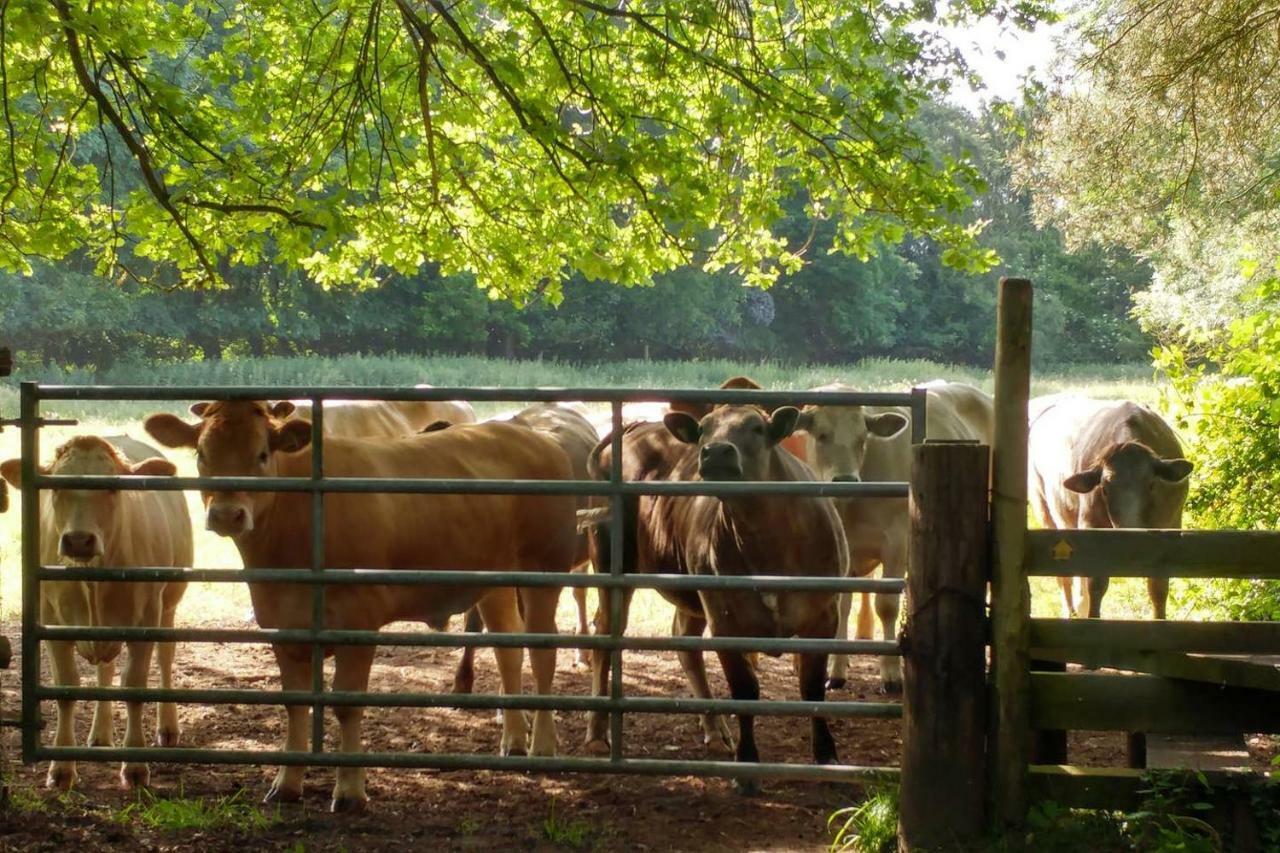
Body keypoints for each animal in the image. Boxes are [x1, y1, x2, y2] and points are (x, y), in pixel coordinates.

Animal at [0, 435, 190, 788]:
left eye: (112, 487)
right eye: (56, 487)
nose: (78, 540)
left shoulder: (146, 618)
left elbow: (134, 687)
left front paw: (135, 765)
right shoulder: (51, 622)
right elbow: (66, 688)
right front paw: (62, 768)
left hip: (169, 604)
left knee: (165, 658)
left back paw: (167, 726)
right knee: (105, 669)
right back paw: (100, 734)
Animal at [144, 399, 576, 809]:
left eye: (262, 454)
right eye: (202, 453)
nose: (226, 514)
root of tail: (531, 436)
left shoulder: (358, 622)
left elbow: (347, 706)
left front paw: (350, 791)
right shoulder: (282, 625)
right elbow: (294, 705)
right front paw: (287, 783)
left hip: (545, 571)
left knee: (543, 654)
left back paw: (543, 746)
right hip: (495, 581)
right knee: (509, 649)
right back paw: (514, 741)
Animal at [583, 402, 844, 788]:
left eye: (756, 427)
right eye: (704, 429)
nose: (716, 451)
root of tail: (635, 427)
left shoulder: (823, 617)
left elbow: (812, 689)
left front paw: (826, 757)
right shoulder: (725, 621)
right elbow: (744, 691)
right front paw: (747, 765)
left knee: (685, 644)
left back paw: (715, 728)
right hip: (610, 563)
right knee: (605, 636)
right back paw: (598, 730)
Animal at [788, 379, 998, 691]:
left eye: (862, 438)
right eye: (822, 435)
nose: (846, 480)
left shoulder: (896, 543)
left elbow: (885, 606)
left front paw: (891, 674)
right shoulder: (843, 551)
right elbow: (842, 605)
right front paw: (836, 670)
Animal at [1024, 391, 1192, 617]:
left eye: (1151, 485)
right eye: (1104, 488)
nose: (1130, 533)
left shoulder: (1170, 525)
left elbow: (1158, 587)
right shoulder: (1090, 526)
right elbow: (1096, 583)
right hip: (1045, 511)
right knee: (1064, 577)